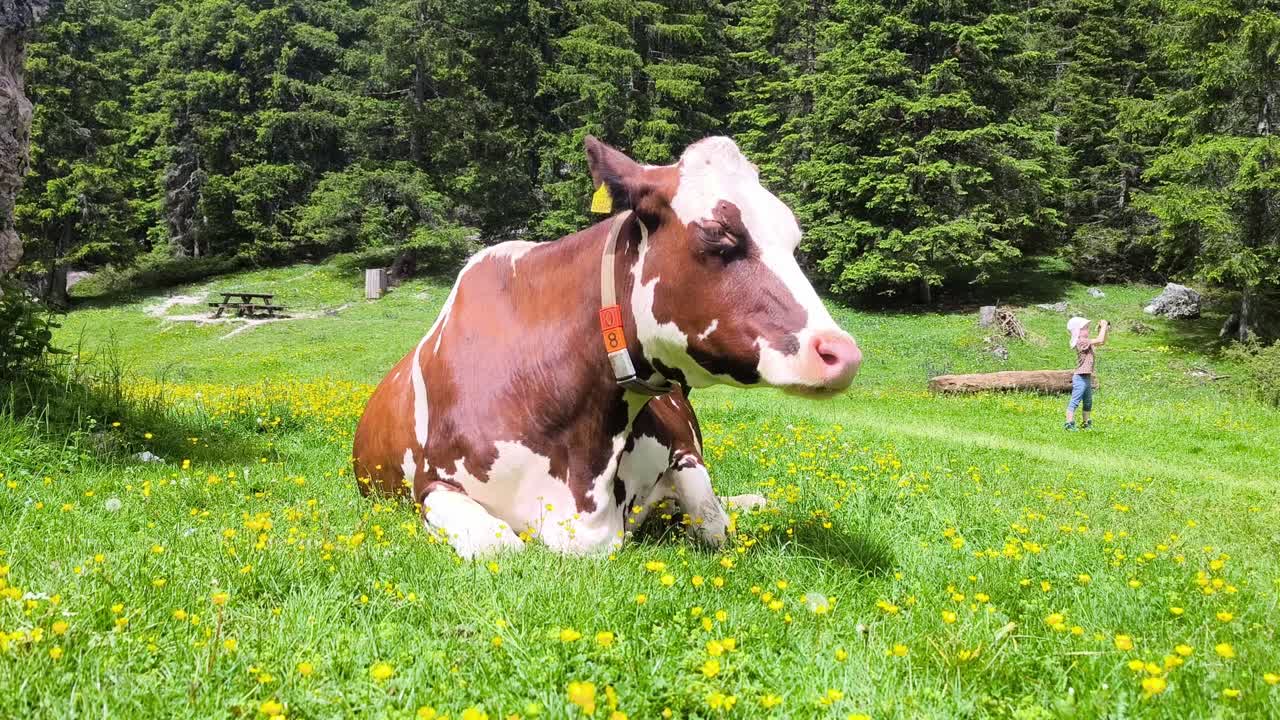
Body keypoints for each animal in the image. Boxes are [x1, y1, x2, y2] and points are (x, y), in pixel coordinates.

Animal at [352, 136, 861, 558]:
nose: (843, 354)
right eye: (719, 232)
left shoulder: (683, 448)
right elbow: (500, 546)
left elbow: (712, 520)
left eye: (793, 239)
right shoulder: (432, 484)